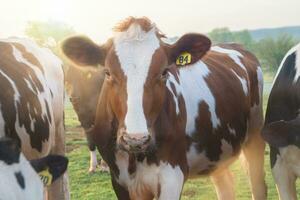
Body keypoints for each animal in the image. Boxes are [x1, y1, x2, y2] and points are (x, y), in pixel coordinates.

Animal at [62, 17, 266, 200]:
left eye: (164, 72)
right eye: (107, 73)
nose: (136, 139)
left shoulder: (172, 176)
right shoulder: (120, 181)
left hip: (255, 135)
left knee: (258, 184)